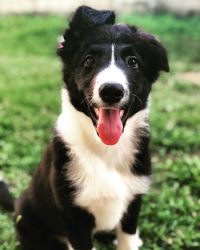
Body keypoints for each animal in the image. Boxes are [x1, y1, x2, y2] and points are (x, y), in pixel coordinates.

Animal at [0, 5, 169, 250]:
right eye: (89, 60)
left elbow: (127, 239)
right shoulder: (74, 216)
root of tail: (16, 204)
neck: (106, 150)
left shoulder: (133, 203)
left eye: (133, 62)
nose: (111, 91)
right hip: (27, 219)